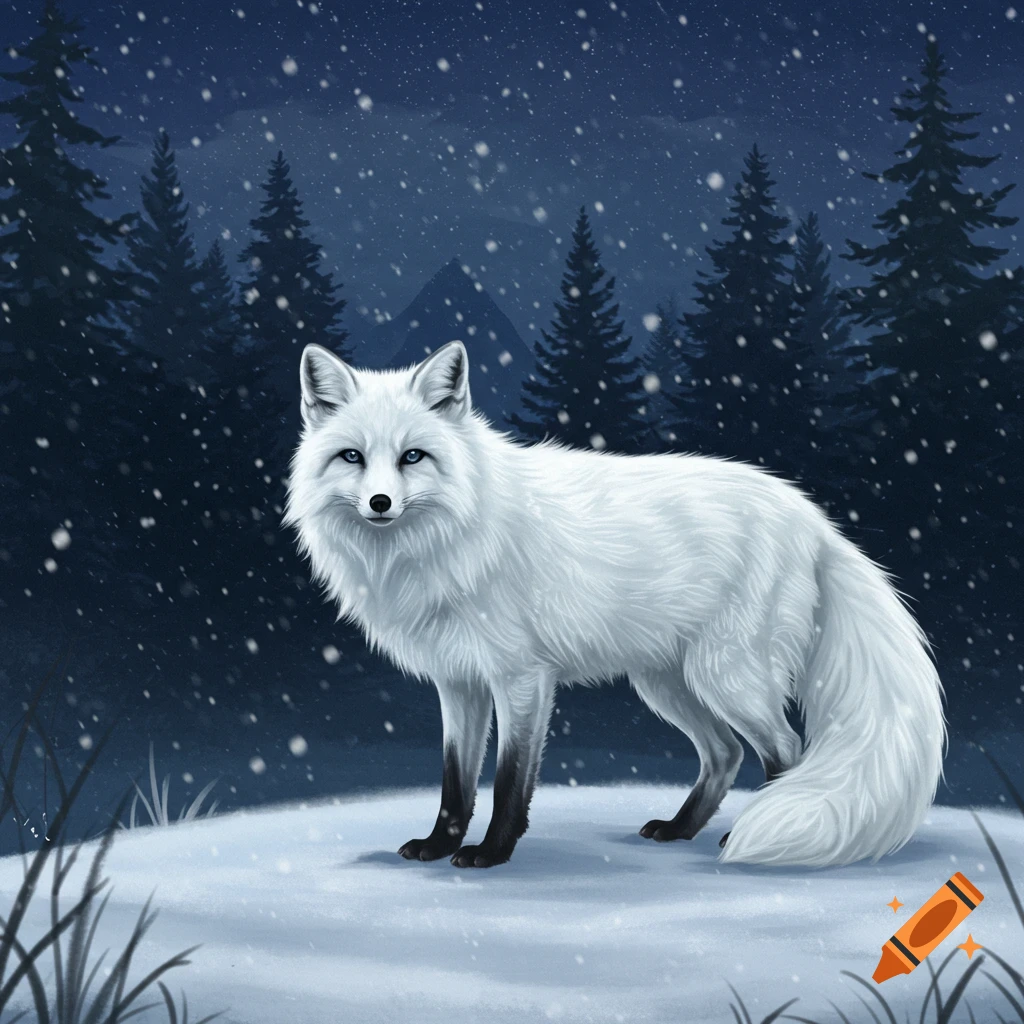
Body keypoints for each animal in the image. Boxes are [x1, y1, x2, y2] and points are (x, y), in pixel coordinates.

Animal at [283, 339, 946, 870]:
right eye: (352, 457)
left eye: (413, 456)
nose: (379, 503)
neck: (447, 542)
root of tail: (814, 518)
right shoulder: (459, 681)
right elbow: (455, 784)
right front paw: (439, 845)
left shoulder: (522, 679)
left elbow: (507, 783)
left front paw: (491, 853)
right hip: (666, 684)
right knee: (725, 753)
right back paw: (680, 829)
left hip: (727, 678)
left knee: (788, 752)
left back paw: (750, 837)